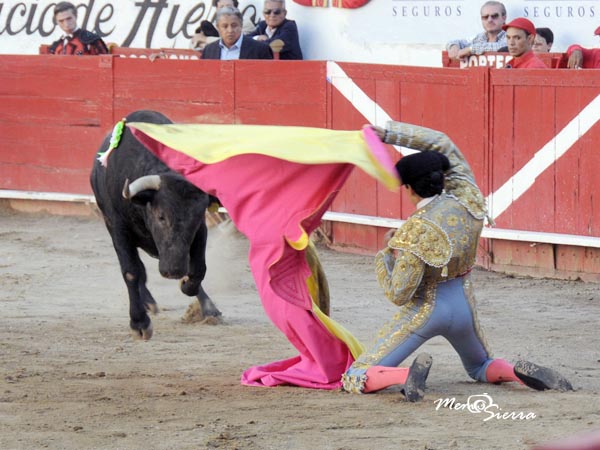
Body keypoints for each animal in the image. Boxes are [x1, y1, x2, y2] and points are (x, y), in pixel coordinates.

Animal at [89, 110, 220, 340]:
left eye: (197, 216)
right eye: (160, 216)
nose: (173, 271)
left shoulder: (200, 231)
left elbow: (198, 268)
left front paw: (189, 287)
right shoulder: (118, 228)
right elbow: (131, 271)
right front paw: (139, 323)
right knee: (138, 269)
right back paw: (148, 302)